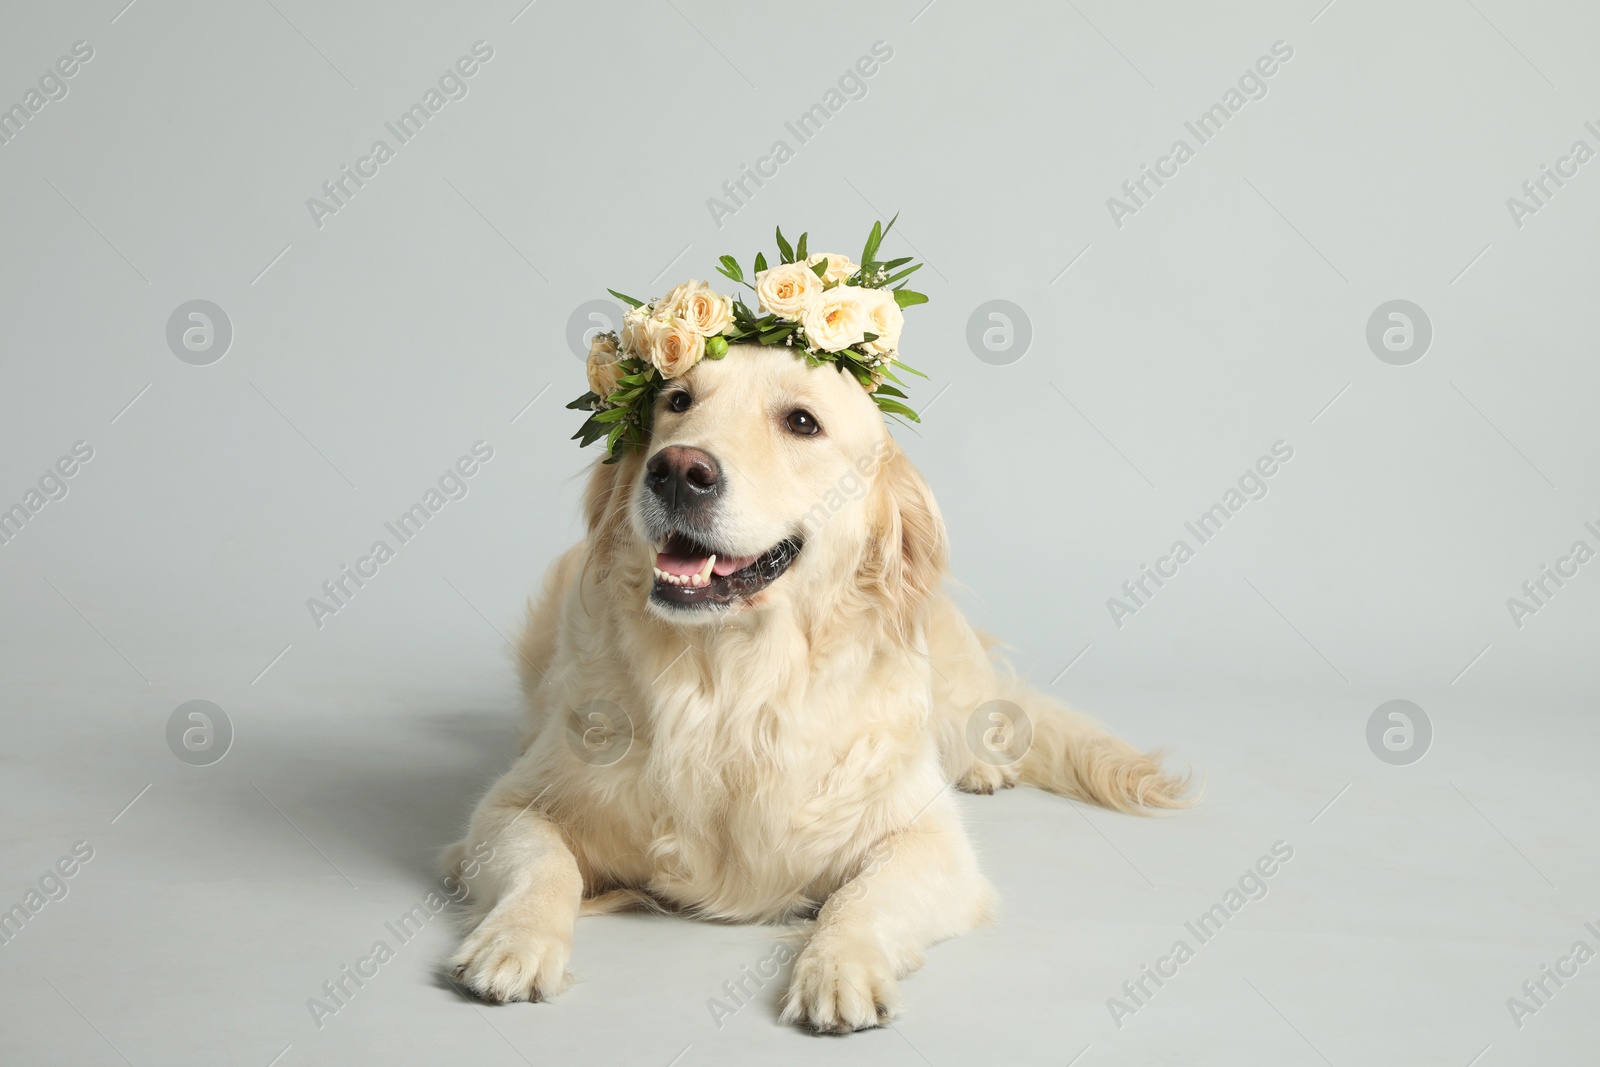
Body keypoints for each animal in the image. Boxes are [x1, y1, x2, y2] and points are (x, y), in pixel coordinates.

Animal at [444, 343, 1196, 1036]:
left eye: (801, 422)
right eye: (678, 401)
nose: (677, 470)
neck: (733, 685)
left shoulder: (931, 842)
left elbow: (862, 898)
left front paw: (841, 966)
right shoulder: (509, 804)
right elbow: (544, 864)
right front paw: (514, 941)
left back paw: (982, 768)